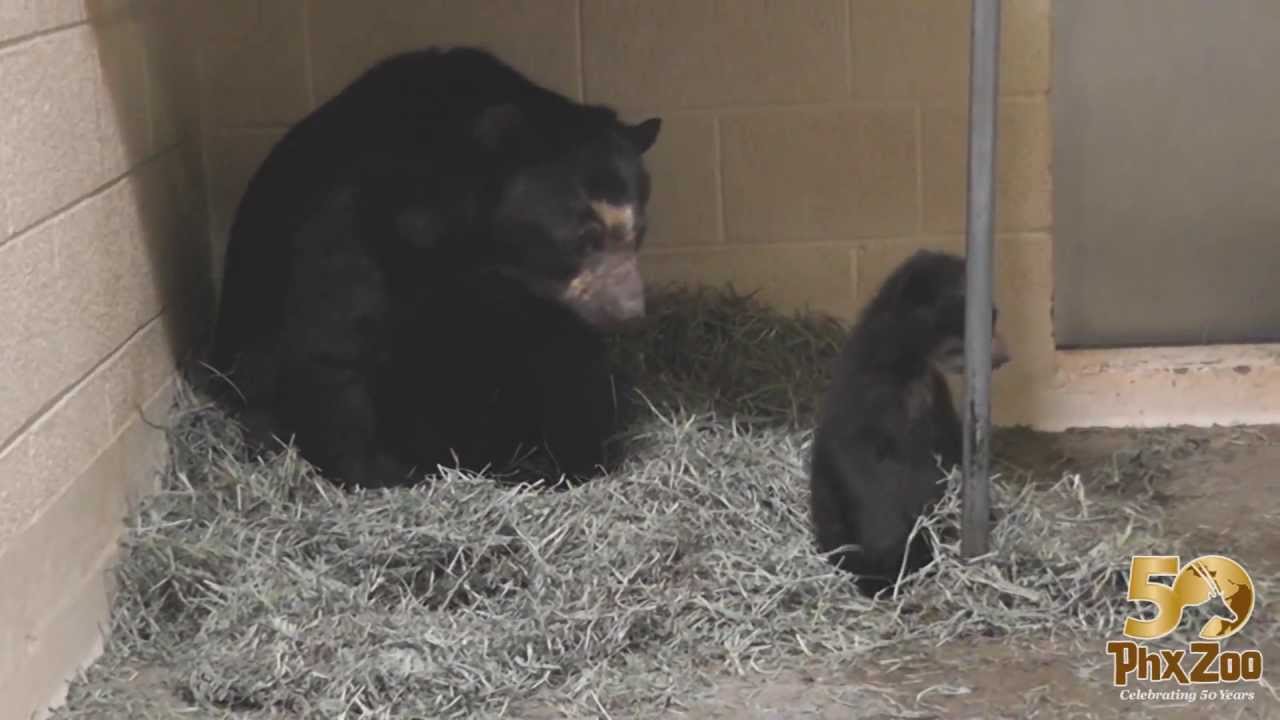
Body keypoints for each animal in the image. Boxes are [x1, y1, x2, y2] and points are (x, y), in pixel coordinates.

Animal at [207, 47, 662, 489]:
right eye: (584, 237)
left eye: (638, 231)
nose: (630, 314)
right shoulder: (346, 228)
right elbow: (333, 348)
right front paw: (377, 474)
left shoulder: (543, 304)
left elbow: (566, 361)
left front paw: (574, 460)